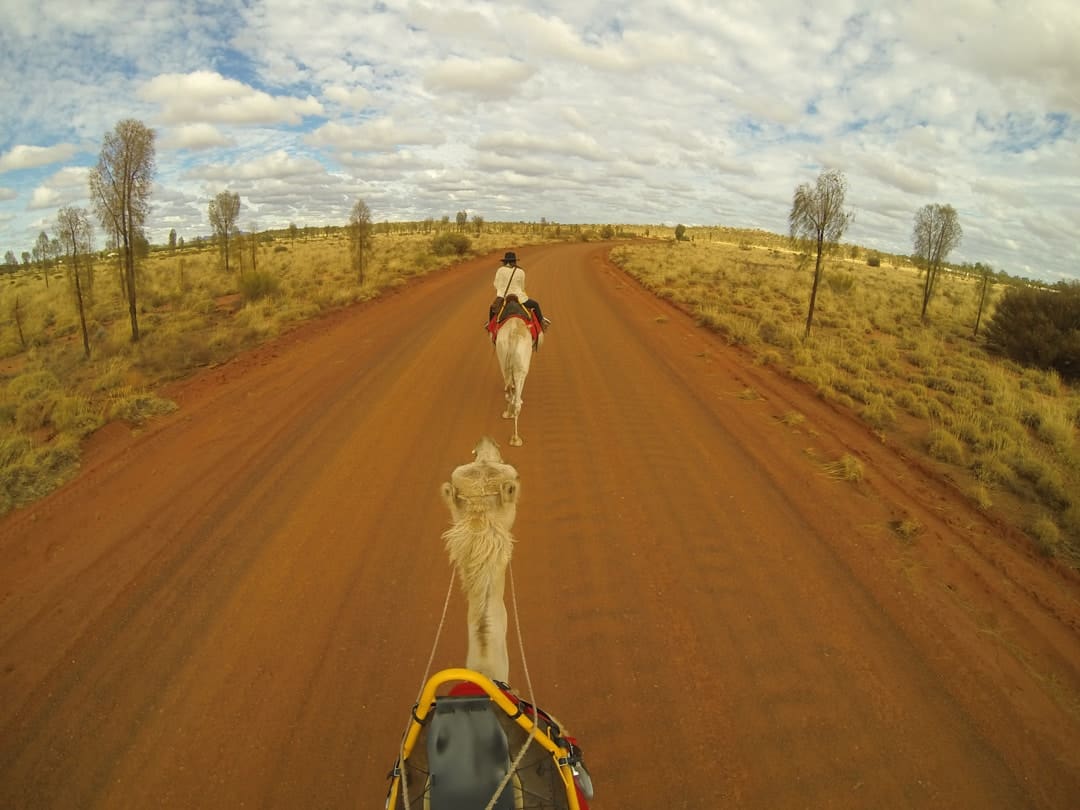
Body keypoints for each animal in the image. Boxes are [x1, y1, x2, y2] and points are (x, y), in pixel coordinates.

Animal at [494, 319, 535, 451]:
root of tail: (513, 336)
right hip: (521, 369)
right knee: (516, 400)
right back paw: (516, 438)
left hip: (503, 360)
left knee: (509, 391)